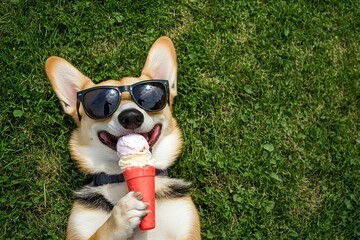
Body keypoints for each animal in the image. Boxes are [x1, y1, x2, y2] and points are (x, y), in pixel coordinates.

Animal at [45, 36, 200, 239]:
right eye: (101, 103)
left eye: (149, 98)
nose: (131, 117)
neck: (122, 179)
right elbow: (99, 233)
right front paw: (119, 216)